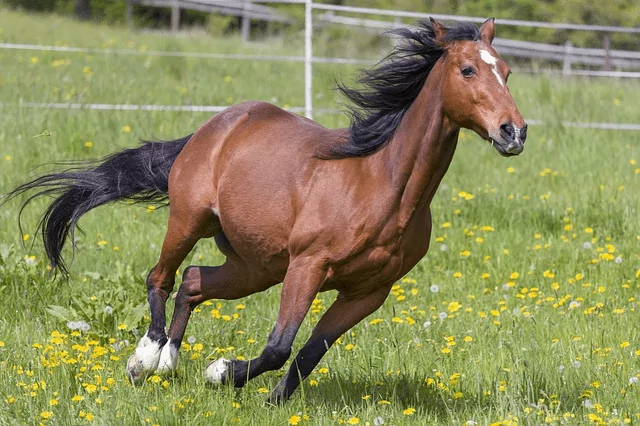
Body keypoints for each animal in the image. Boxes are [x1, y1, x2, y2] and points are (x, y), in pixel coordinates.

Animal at [5, 18, 527, 403]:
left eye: (505, 71)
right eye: (468, 70)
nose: (513, 131)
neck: (382, 185)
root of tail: (215, 126)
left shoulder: (368, 292)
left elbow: (309, 353)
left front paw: (271, 399)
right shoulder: (308, 266)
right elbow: (280, 346)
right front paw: (220, 372)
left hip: (256, 266)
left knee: (193, 282)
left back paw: (170, 364)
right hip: (192, 222)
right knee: (161, 277)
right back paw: (144, 361)